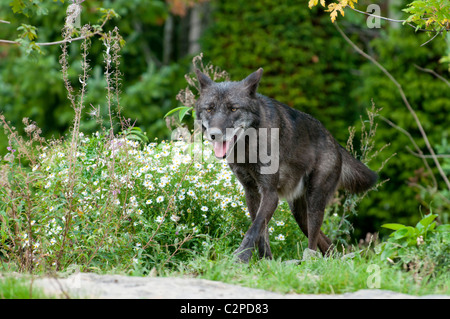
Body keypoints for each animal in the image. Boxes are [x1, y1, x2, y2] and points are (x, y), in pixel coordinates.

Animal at [195, 68, 378, 262]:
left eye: (234, 108)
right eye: (209, 108)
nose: (214, 134)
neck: (248, 146)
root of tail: (335, 142)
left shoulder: (270, 193)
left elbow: (254, 229)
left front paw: (241, 258)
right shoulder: (251, 192)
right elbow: (261, 232)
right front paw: (265, 261)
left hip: (314, 202)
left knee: (313, 242)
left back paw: (309, 262)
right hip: (299, 214)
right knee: (327, 244)